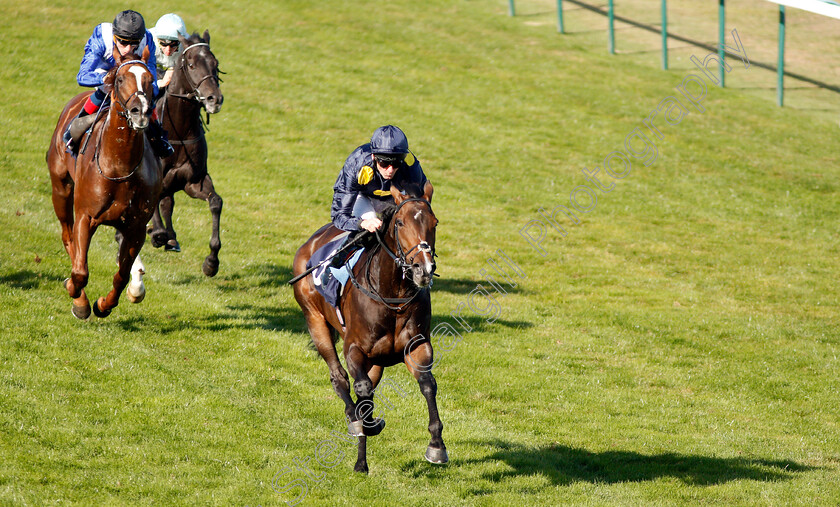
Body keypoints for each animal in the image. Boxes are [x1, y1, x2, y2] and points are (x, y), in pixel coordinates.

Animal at [46, 46, 162, 318]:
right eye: (120, 79)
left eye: (150, 79)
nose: (140, 112)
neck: (119, 167)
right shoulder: (86, 216)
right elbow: (79, 272)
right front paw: (79, 300)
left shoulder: (135, 227)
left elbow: (122, 275)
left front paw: (103, 304)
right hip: (61, 189)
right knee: (67, 238)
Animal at [146, 30, 223, 278]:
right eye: (191, 64)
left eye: (215, 64)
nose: (214, 99)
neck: (178, 131)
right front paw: (157, 234)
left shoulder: (193, 180)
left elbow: (215, 202)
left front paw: (211, 262)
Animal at [290, 181, 446, 474]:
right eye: (400, 223)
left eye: (434, 222)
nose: (423, 270)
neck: (393, 295)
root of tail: (310, 243)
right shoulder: (354, 348)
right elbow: (360, 388)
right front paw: (363, 433)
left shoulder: (417, 346)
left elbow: (427, 384)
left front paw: (436, 446)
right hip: (315, 320)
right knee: (339, 377)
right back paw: (355, 426)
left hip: (376, 361)